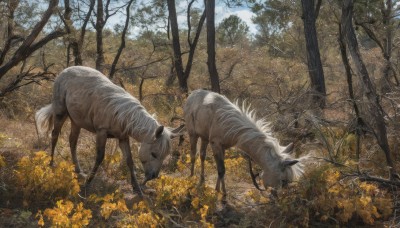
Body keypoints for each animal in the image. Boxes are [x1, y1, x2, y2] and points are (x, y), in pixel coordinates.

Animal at [35, 65, 184, 196]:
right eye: (153, 154)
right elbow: (100, 157)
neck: (122, 114)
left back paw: (78, 170)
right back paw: (51, 163)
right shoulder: (101, 132)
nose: (153, 176)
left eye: (165, 155)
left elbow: (129, 161)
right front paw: (88, 183)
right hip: (60, 113)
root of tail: (65, 71)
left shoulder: (123, 138)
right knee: (54, 135)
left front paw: (137, 189)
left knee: (72, 141)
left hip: (76, 121)